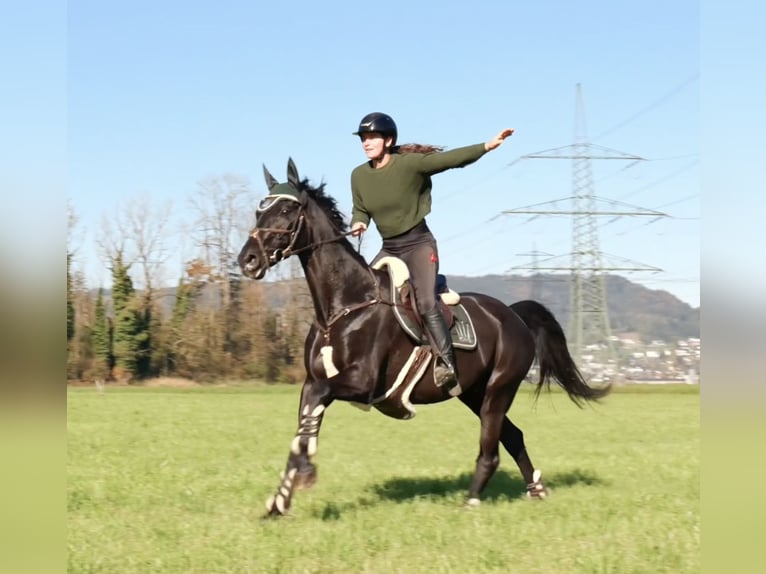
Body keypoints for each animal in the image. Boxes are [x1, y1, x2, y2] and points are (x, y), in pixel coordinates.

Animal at [237, 160, 608, 520]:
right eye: (259, 211)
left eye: (287, 210)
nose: (247, 260)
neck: (343, 307)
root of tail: (513, 315)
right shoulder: (313, 382)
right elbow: (303, 430)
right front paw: (278, 503)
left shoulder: (360, 384)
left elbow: (308, 426)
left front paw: (304, 475)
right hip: (473, 393)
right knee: (513, 436)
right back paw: (537, 489)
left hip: (498, 391)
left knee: (490, 449)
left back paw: (471, 502)